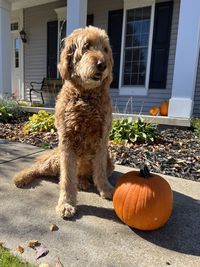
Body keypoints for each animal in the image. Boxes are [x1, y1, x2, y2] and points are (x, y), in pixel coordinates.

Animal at [13, 26, 114, 219]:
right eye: (86, 46)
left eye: (105, 49)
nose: (102, 64)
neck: (86, 97)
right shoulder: (67, 142)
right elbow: (66, 179)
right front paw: (66, 203)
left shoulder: (101, 141)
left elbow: (100, 171)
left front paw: (106, 189)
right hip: (54, 161)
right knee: (37, 167)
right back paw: (21, 177)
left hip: (110, 161)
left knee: (86, 174)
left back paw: (83, 181)